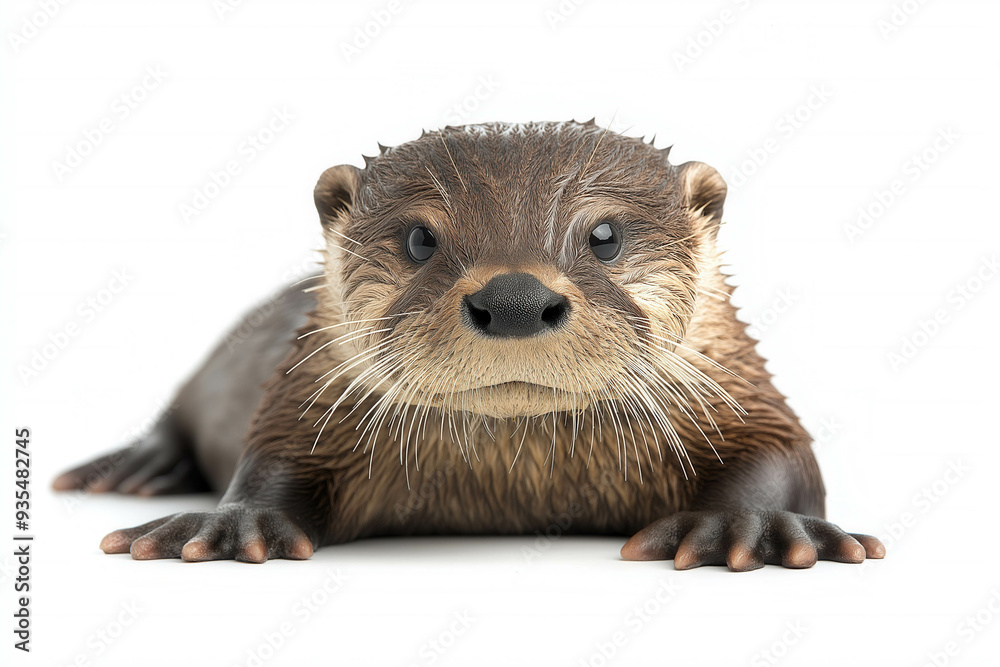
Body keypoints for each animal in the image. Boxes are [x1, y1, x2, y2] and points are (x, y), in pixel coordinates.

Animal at [53, 120, 884, 570]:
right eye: (421, 238)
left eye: (605, 234)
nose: (514, 296)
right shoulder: (302, 393)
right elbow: (272, 459)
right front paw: (232, 523)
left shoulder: (740, 387)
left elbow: (780, 451)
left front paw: (748, 526)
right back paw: (136, 466)